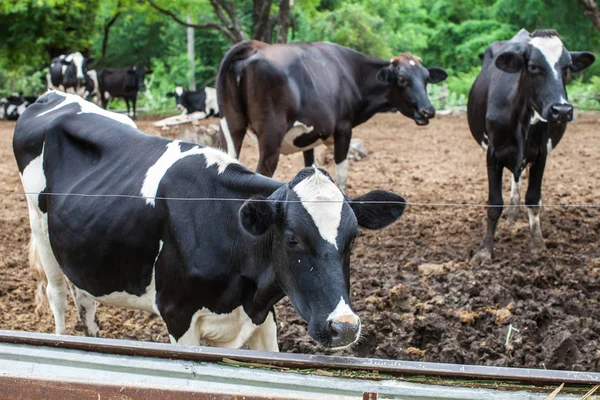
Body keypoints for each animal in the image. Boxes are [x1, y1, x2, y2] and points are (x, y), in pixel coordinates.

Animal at [15, 90, 408, 350]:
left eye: (352, 238)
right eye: (292, 238)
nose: (345, 327)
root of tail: (53, 95)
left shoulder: (262, 319)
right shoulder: (178, 316)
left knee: (84, 296)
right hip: (39, 226)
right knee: (58, 294)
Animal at [468, 29, 596, 264]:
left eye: (567, 67)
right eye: (534, 66)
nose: (561, 110)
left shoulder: (540, 153)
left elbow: (533, 199)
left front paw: (538, 245)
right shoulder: (493, 153)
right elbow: (494, 204)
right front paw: (484, 250)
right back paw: (511, 216)